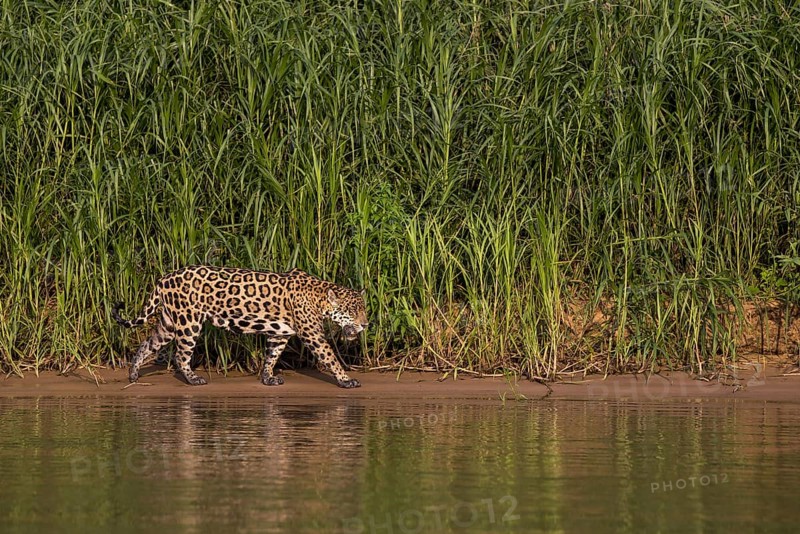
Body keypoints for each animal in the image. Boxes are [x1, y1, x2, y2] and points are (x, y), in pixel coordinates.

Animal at [112, 265, 367, 388]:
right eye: (353, 311)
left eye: (364, 309)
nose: (365, 324)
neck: (320, 297)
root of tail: (163, 278)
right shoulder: (312, 334)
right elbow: (330, 356)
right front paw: (346, 380)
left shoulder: (281, 333)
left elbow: (272, 355)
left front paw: (268, 378)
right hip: (189, 321)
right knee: (180, 354)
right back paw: (193, 379)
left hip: (169, 322)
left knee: (148, 343)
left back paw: (133, 374)